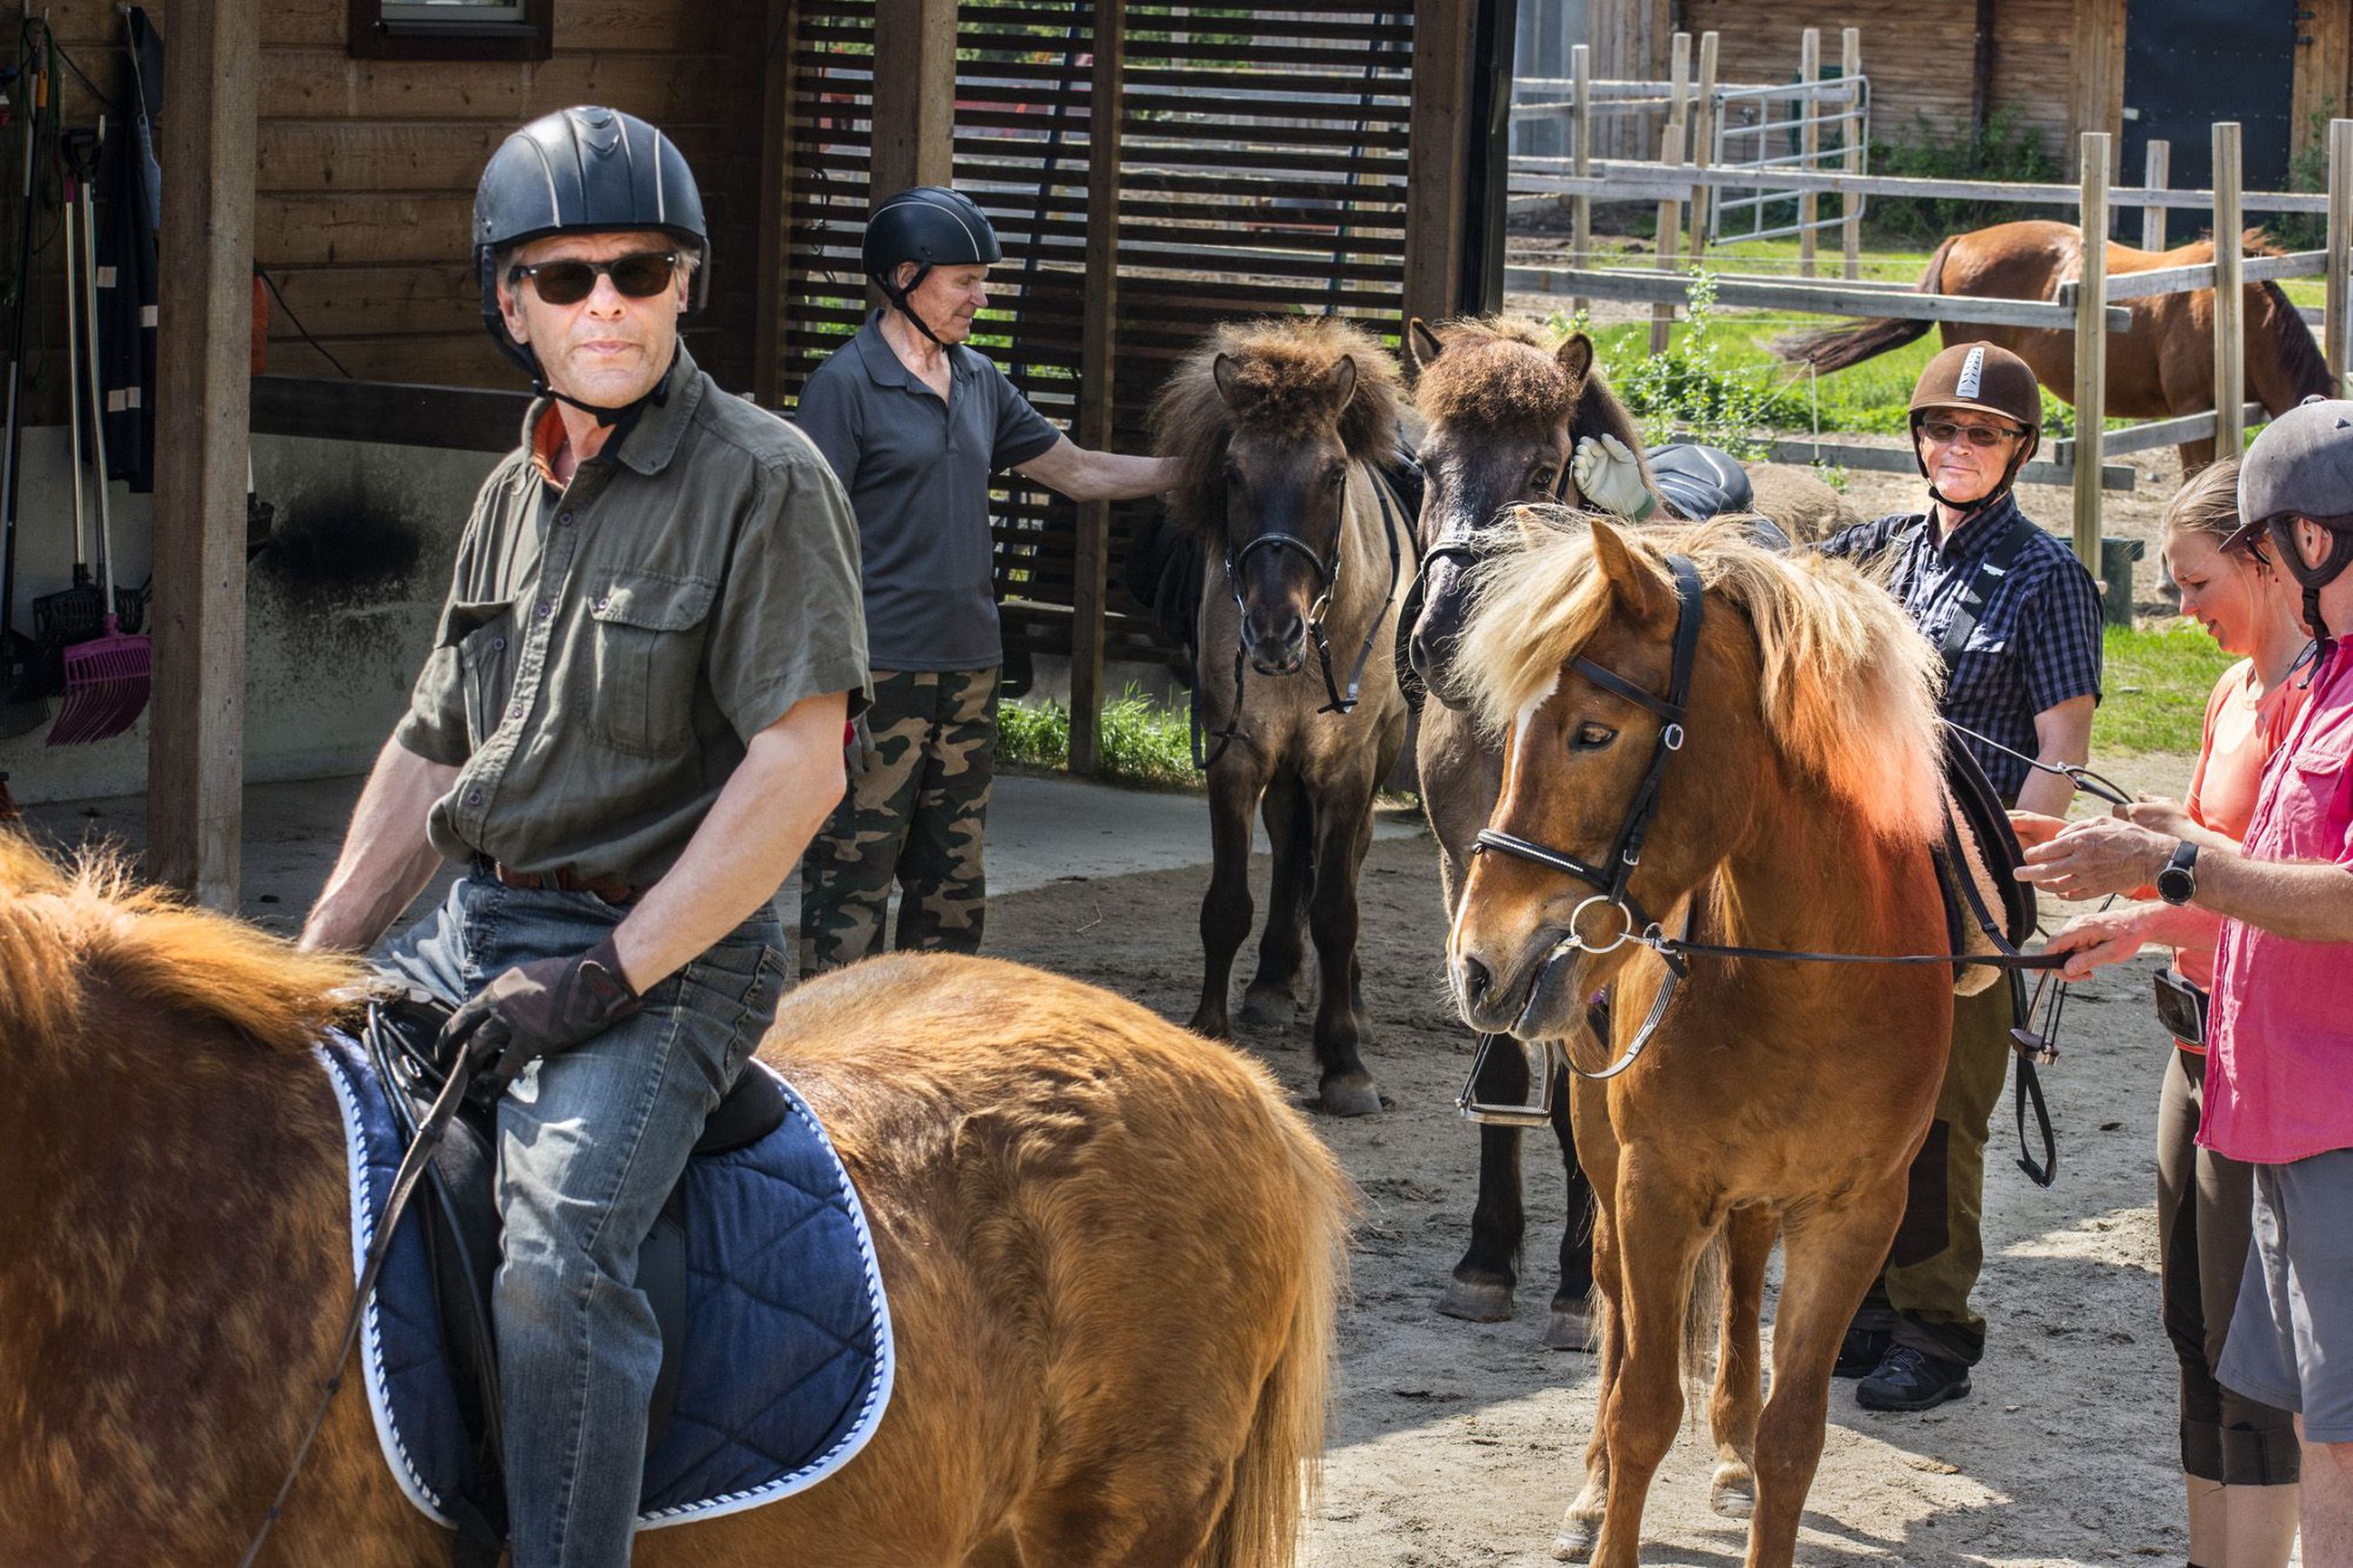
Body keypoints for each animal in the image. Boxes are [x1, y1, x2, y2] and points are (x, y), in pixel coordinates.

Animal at [1148, 312, 1402, 1114]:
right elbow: (1228, 901)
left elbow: (1339, 910)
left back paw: (1345, 997)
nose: (1272, 630)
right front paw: (1213, 1030)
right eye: (1233, 475)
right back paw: (1272, 984)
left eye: (1333, 474)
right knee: (1292, 843)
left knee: (1343, 858)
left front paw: (1344, 1061)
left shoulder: (1348, 765)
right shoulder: (1237, 753)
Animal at [1393, 315, 1853, 1354]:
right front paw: (1487, 1258)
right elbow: (1510, 1058)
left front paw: (1576, 1279)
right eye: (1424, 464)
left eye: (1542, 464)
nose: (1442, 637)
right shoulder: (1469, 889)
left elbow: (1579, 1086)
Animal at [1449, 517, 1948, 1568]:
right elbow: (1640, 1406)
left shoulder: (1853, 1216)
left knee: (1745, 1273)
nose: (1476, 961)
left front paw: (1755, 1456)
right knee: (1609, 1301)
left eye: (1594, 732)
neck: (1810, 976)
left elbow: (1795, 1434)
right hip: (1605, 1152)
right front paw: (1608, 1498)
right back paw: (1592, 1486)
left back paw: (1730, 1452)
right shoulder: (1656, 1188)